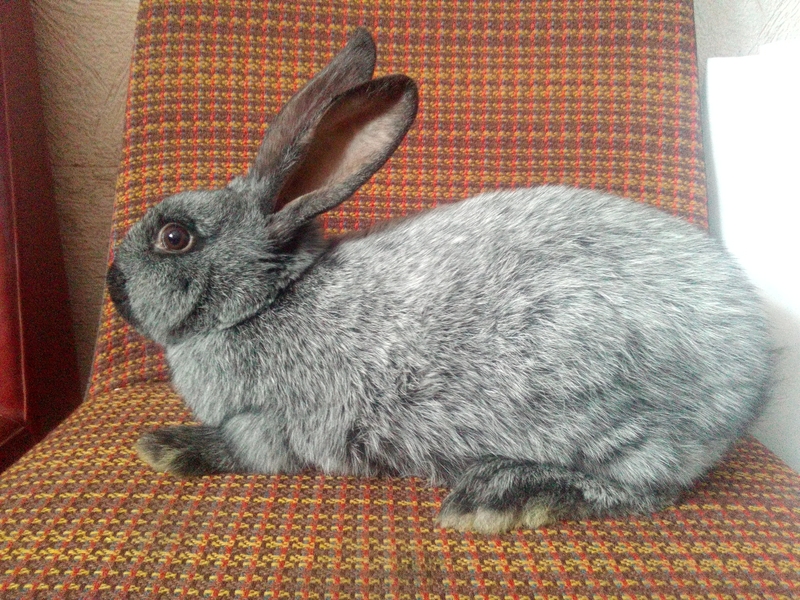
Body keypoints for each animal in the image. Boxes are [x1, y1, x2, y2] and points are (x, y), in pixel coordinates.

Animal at [107, 28, 772, 534]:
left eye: (174, 237)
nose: (113, 285)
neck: (269, 299)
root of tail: (752, 364)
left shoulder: (272, 423)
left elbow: (240, 450)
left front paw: (165, 446)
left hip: (614, 409)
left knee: (648, 488)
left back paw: (500, 495)